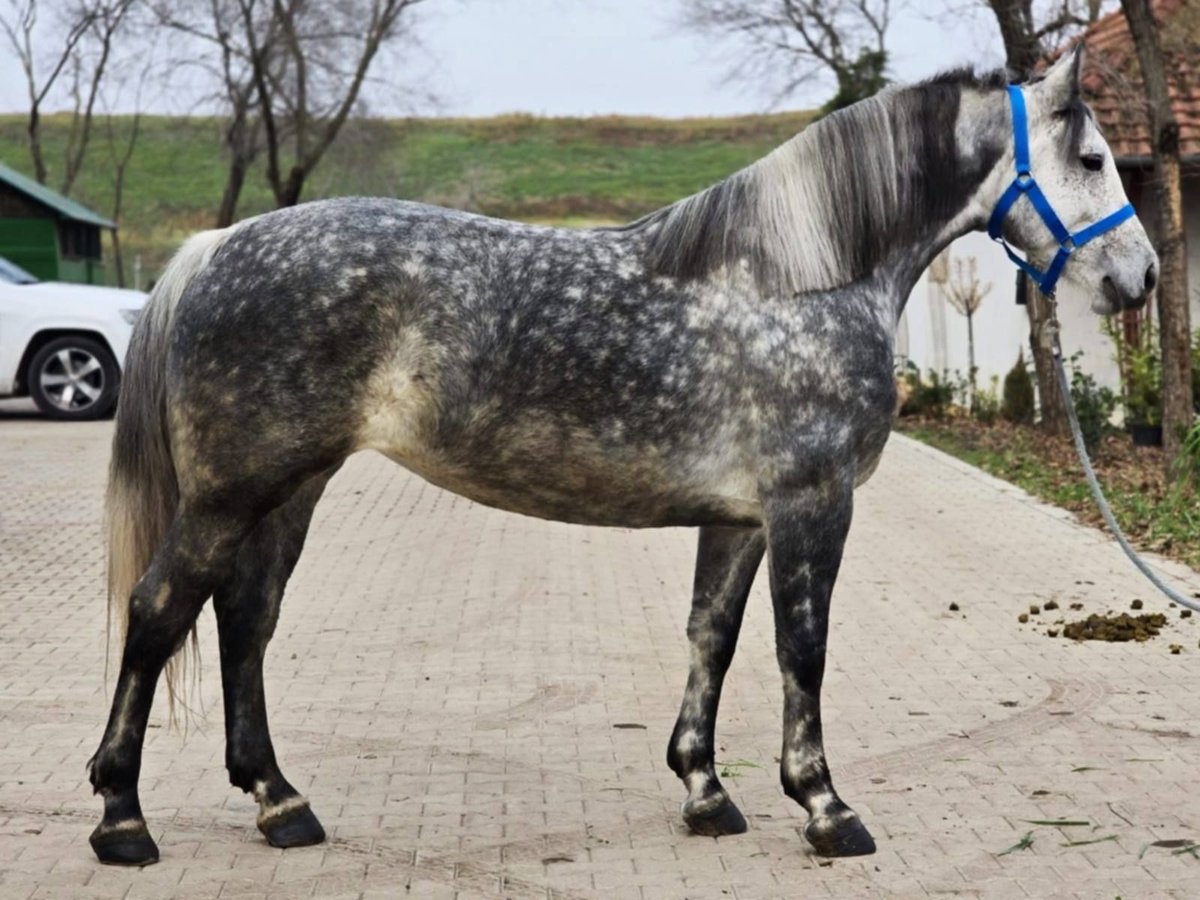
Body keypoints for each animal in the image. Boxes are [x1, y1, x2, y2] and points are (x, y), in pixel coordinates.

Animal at [88, 47, 1157, 866]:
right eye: (1093, 157)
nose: (1140, 276)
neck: (801, 277)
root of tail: (216, 247)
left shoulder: (740, 519)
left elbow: (712, 638)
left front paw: (706, 792)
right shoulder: (811, 504)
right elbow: (802, 649)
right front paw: (824, 807)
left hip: (291, 489)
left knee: (245, 622)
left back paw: (280, 802)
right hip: (232, 493)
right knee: (159, 612)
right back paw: (123, 819)